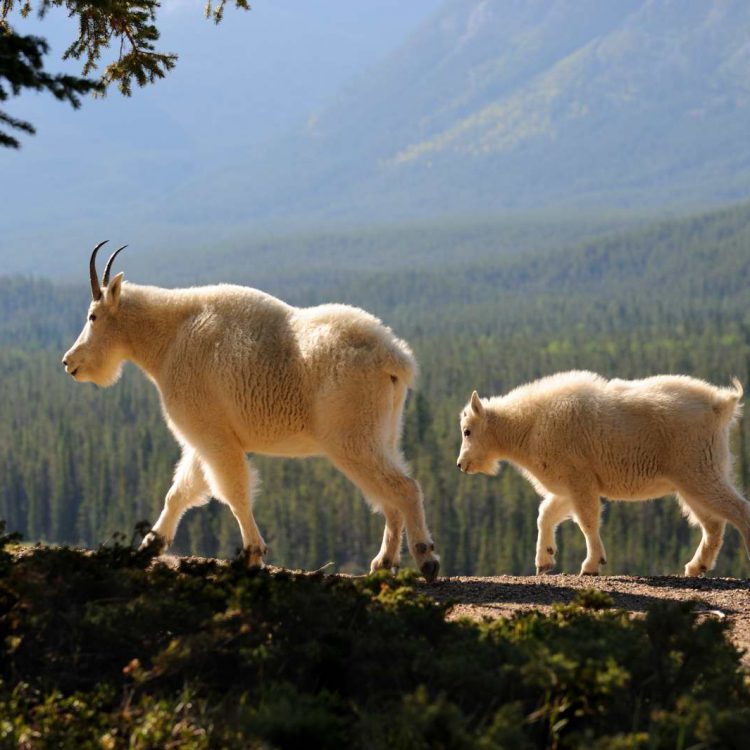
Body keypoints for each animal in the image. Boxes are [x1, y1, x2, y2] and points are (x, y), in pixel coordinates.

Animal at [64, 242, 444, 580]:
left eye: (93, 316)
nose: (70, 362)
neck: (168, 338)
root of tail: (394, 356)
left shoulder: (211, 433)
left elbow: (233, 492)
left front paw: (252, 554)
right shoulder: (204, 437)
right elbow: (181, 491)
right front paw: (149, 545)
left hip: (352, 435)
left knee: (404, 488)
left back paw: (426, 559)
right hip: (385, 431)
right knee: (389, 496)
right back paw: (383, 563)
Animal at [456, 374, 748, 580]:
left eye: (467, 431)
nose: (461, 465)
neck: (528, 426)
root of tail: (721, 405)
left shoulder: (580, 478)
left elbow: (586, 521)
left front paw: (591, 565)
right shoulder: (568, 484)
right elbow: (546, 514)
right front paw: (545, 560)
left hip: (699, 471)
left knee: (737, 510)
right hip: (692, 480)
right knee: (713, 524)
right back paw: (696, 566)